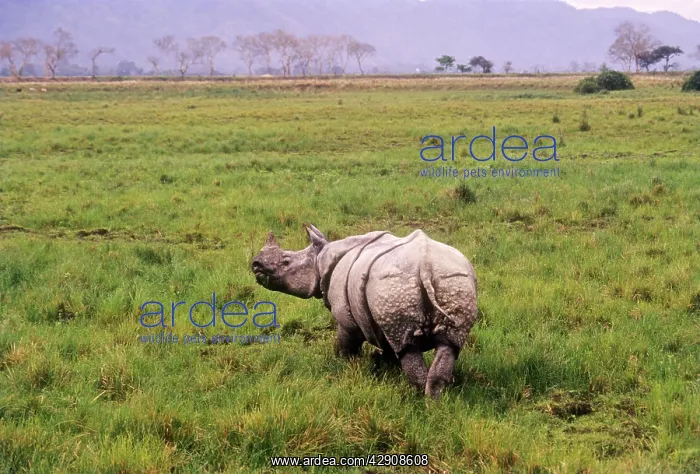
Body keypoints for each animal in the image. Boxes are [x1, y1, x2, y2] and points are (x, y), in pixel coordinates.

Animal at [251, 224, 478, 399]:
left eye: (286, 261)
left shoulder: (347, 320)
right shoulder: (378, 319)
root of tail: (425, 264)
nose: (255, 264)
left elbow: (346, 343)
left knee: (407, 347)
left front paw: (346, 364)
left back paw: (419, 400)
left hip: (395, 284)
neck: (321, 260)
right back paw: (436, 401)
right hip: (452, 278)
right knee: (448, 344)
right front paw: (386, 366)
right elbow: (388, 347)